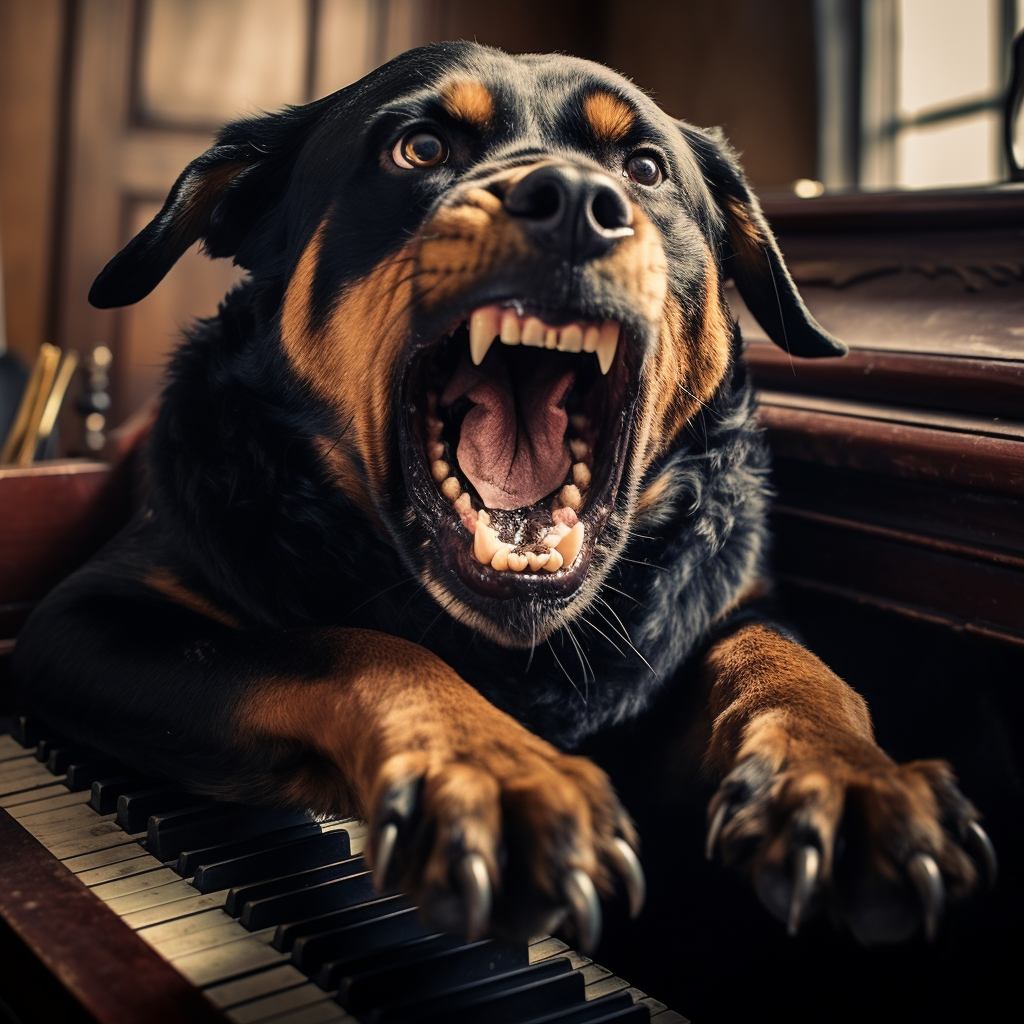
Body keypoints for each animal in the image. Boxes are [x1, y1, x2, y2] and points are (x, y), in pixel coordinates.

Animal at [12, 41, 995, 958]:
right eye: (419, 147)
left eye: (645, 167)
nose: (575, 200)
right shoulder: (83, 622)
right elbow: (352, 645)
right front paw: (494, 771)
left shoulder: (731, 605)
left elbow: (791, 666)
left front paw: (851, 778)